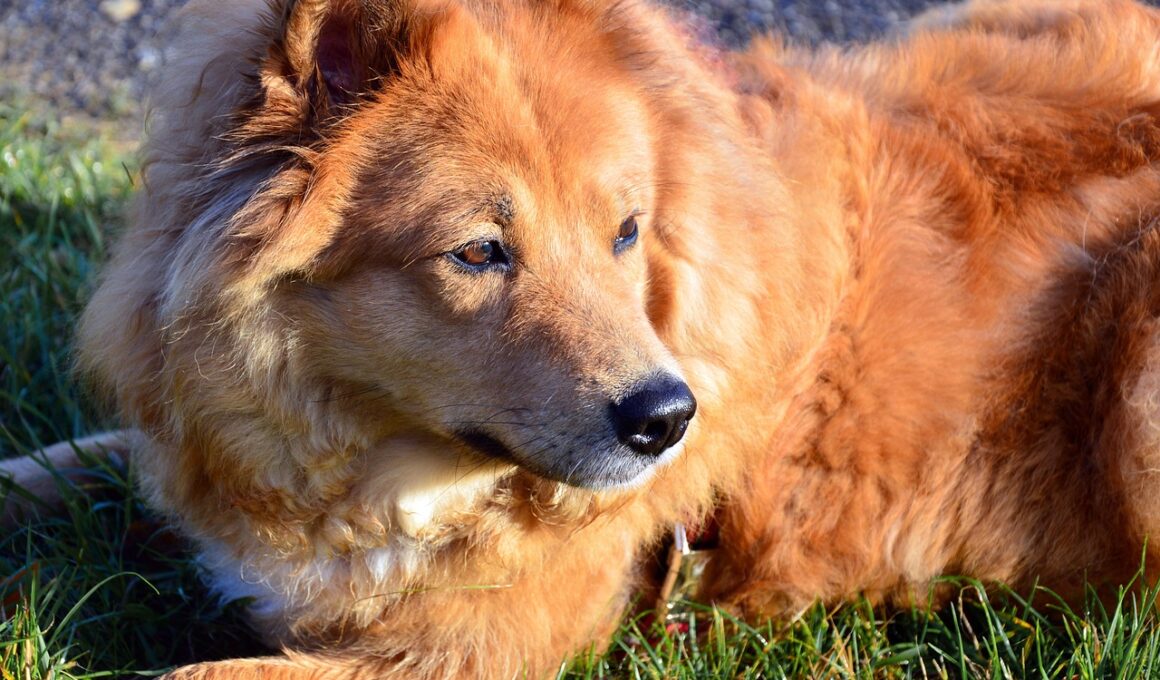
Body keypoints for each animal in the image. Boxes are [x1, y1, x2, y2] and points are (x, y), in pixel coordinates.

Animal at [4, 0, 1160, 677]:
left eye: (625, 231)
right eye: (479, 252)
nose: (667, 417)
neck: (370, 463)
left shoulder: (455, 654)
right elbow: (58, 467)